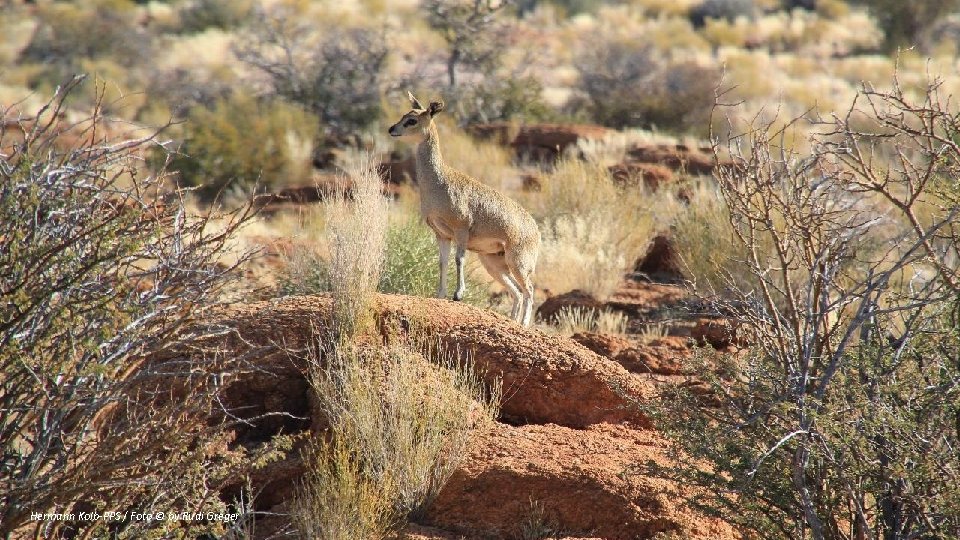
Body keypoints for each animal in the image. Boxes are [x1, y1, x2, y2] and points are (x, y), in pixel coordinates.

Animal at [388, 92, 540, 324]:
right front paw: (440, 294)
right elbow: (442, 262)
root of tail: (537, 231)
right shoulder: (441, 234)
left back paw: (523, 324)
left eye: (412, 120)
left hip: (518, 262)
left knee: (529, 290)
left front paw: (458, 294)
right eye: (404, 115)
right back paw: (513, 320)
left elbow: (459, 259)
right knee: (517, 291)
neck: (438, 182)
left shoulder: (461, 229)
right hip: (493, 262)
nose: (392, 129)